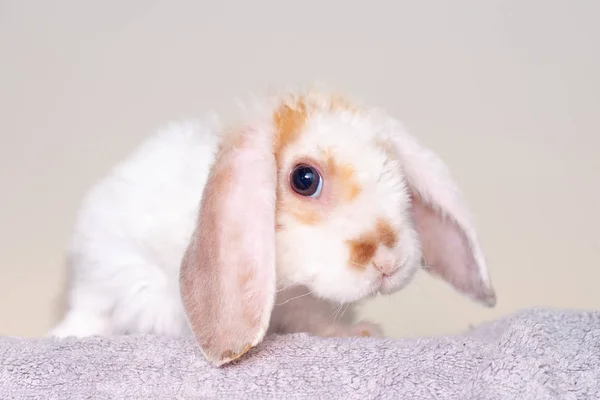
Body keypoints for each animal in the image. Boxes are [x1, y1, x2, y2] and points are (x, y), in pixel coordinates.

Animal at [48, 88, 496, 366]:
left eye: (396, 173)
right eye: (304, 179)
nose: (388, 258)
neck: (289, 290)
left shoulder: (305, 307)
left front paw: (361, 332)